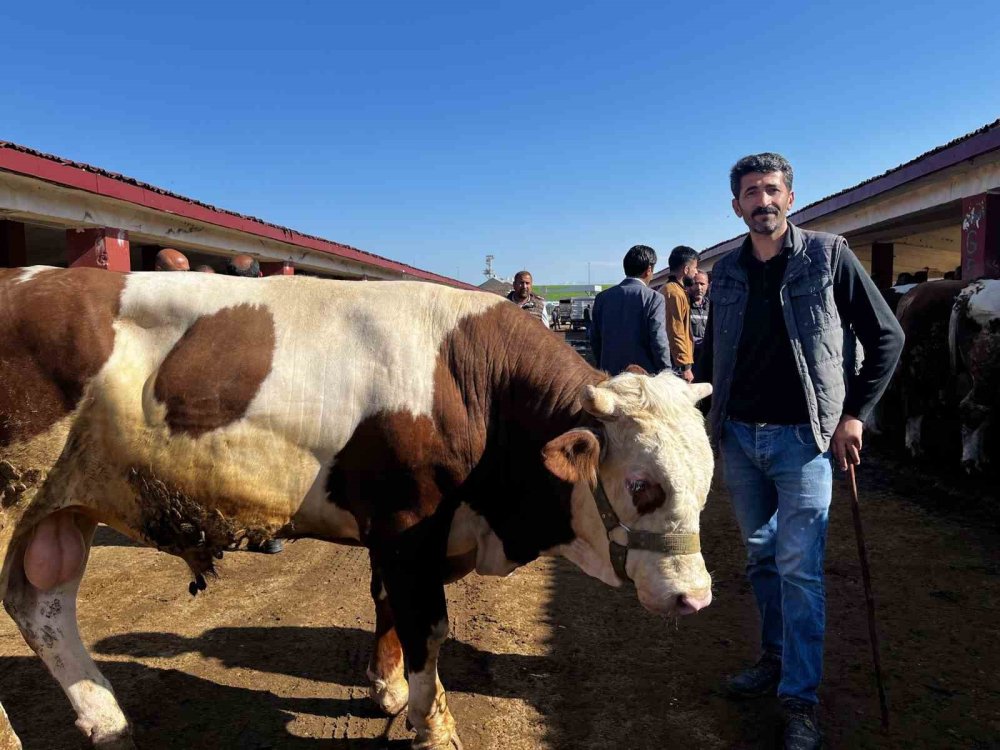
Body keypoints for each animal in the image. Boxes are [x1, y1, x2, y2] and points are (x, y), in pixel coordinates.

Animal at [1, 268, 720, 748]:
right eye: (643, 486)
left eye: (709, 482)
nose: (695, 598)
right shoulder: (408, 527)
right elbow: (428, 626)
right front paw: (434, 727)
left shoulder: (404, 530)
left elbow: (386, 606)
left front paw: (388, 690)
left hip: (61, 507)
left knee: (42, 609)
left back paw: (107, 722)